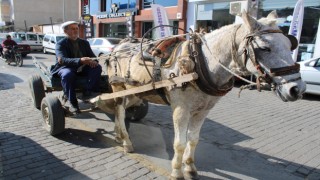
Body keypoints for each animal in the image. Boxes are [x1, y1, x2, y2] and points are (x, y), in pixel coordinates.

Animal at [94, 11, 304, 179]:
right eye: (264, 48)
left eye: (290, 44)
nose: (297, 89)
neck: (201, 62)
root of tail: (118, 47)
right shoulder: (181, 110)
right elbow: (179, 143)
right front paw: (176, 171)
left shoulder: (203, 110)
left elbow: (193, 140)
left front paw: (190, 168)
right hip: (119, 87)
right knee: (120, 110)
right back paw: (126, 141)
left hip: (134, 91)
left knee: (120, 110)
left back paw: (118, 134)